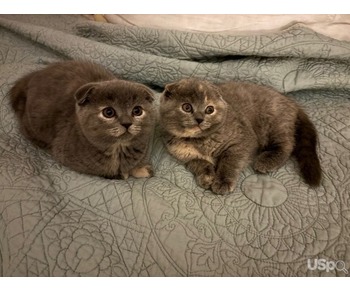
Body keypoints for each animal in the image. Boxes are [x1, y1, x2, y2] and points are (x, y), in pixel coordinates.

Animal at [9, 60, 155, 178]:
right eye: (108, 112)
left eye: (137, 111)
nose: (126, 123)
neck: (118, 150)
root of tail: (34, 75)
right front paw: (124, 173)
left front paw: (140, 169)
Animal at [160, 78, 322, 195]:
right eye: (187, 107)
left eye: (209, 109)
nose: (199, 119)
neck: (199, 141)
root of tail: (291, 102)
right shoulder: (184, 155)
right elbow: (199, 163)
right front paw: (207, 177)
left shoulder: (243, 140)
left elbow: (230, 162)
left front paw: (222, 182)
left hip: (274, 123)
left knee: (288, 144)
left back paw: (266, 161)